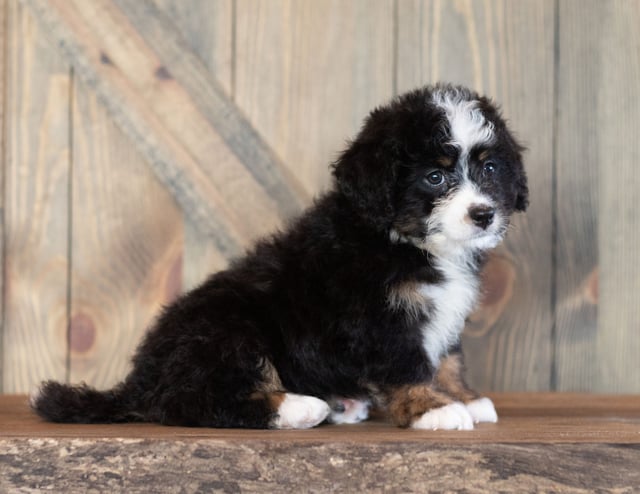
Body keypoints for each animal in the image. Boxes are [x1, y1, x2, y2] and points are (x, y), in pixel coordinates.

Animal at [32, 84, 528, 428]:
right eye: (435, 177)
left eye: (489, 168)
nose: (483, 214)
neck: (406, 241)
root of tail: (140, 380)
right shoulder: (377, 317)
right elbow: (407, 364)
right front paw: (431, 409)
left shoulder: (439, 315)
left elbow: (448, 357)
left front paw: (464, 397)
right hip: (229, 329)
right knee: (190, 403)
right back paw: (301, 408)